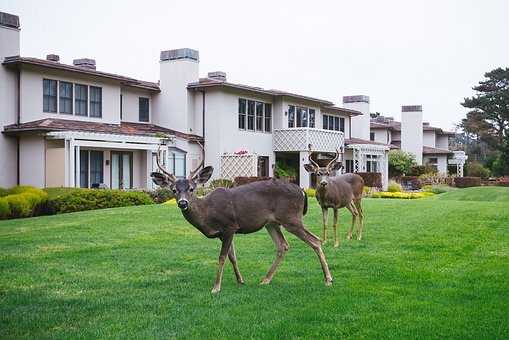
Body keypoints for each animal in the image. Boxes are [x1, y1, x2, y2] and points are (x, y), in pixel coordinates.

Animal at [151, 142, 334, 294]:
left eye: (191, 188)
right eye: (174, 190)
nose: (183, 203)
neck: (207, 214)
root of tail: (302, 191)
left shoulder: (229, 226)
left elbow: (222, 257)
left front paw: (216, 288)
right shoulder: (223, 233)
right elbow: (232, 257)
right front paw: (240, 280)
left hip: (291, 218)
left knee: (315, 241)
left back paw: (328, 279)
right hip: (272, 223)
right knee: (283, 246)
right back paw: (265, 280)